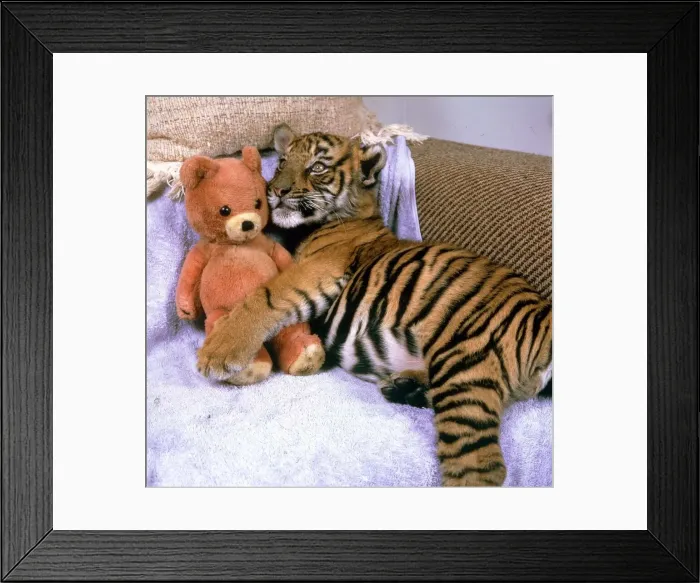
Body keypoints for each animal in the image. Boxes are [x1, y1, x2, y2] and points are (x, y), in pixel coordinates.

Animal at [197, 124, 553, 487]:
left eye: (318, 167)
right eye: (282, 161)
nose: (276, 190)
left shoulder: (316, 271)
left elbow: (265, 296)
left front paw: (218, 352)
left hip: (468, 365)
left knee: (482, 465)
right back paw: (406, 388)